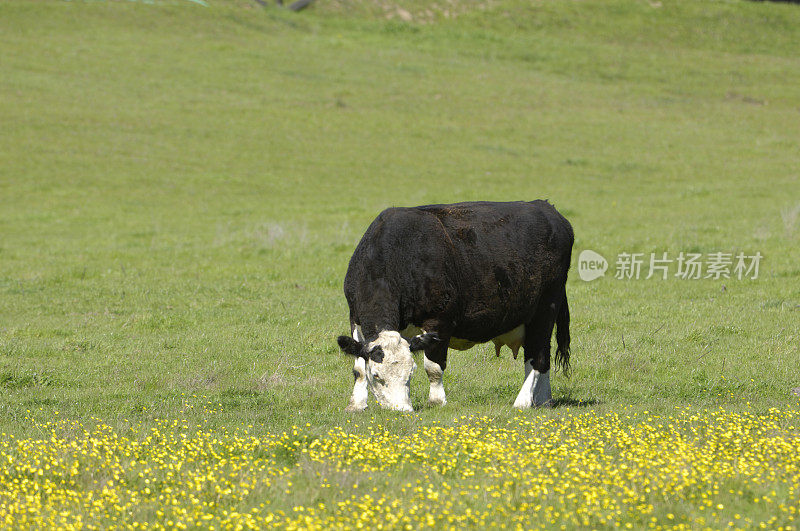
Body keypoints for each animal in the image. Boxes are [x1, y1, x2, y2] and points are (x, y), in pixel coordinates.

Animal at [334, 200, 572, 412]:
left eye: (410, 373)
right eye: (376, 375)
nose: (402, 410)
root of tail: (545, 207)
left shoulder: (439, 320)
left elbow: (433, 367)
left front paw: (436, 402)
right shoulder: (355, 318)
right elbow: (358, 367)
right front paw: (356, 405)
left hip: (546, 308)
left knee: (538, 356)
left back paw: (522, 402)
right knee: (543, 356)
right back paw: (543, 400)